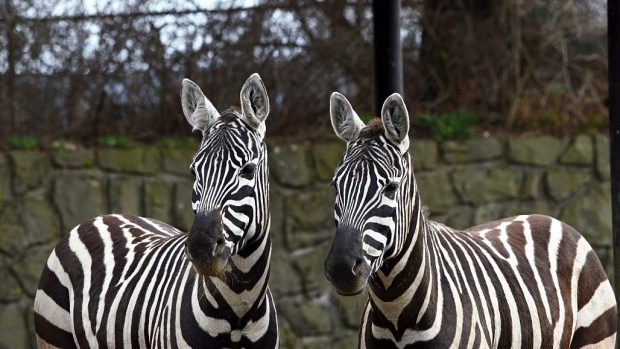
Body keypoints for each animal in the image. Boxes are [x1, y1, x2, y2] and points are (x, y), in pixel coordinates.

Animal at [31, 72, 278, 346]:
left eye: (248, 170)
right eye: (194, 172)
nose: (201, 249)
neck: (240, 308)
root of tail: (102, 217)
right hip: (52, 335)